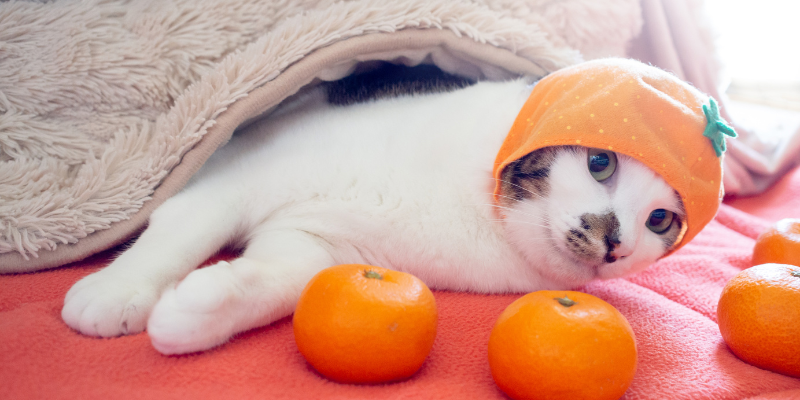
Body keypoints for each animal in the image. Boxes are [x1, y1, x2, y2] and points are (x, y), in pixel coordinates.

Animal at [64, 69, 680, 354]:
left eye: (660, 221)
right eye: (600, 162)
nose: (615, 244)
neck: (476, 210)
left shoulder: (315, 245)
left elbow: (275, 284)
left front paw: (198, 313)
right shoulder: (235, 180)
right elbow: (179, 234)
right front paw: (115, 292)